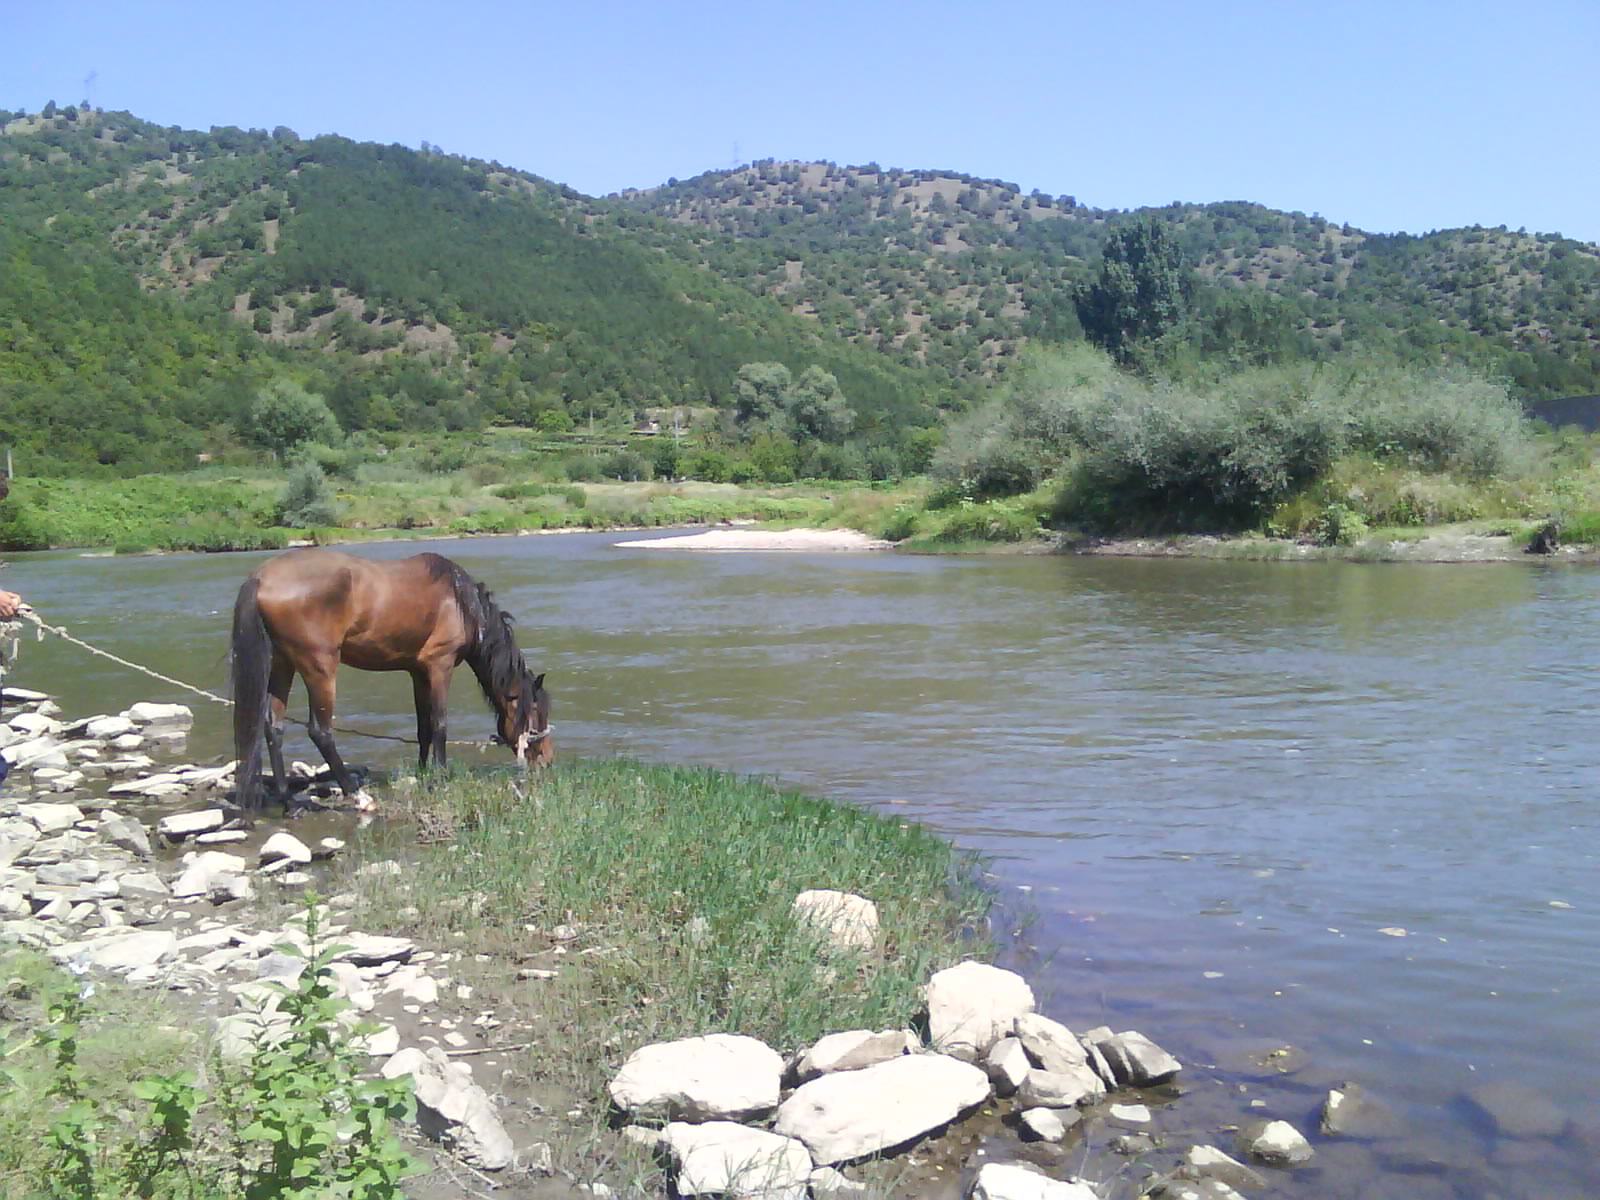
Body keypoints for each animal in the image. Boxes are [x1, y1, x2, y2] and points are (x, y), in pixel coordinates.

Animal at [225, 553, 550, 819]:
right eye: (536, 714)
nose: (546, 760)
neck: (461, 604)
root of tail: (262, 577)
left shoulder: (417, 672)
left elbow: (424, 728)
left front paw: (423, 773)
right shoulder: (439, 667)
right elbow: (440, 725)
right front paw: (440, 778)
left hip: (283, 664)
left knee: (273, 728)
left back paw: (290, 804)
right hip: (319, 667)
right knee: (320, 730)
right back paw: (358, 797)